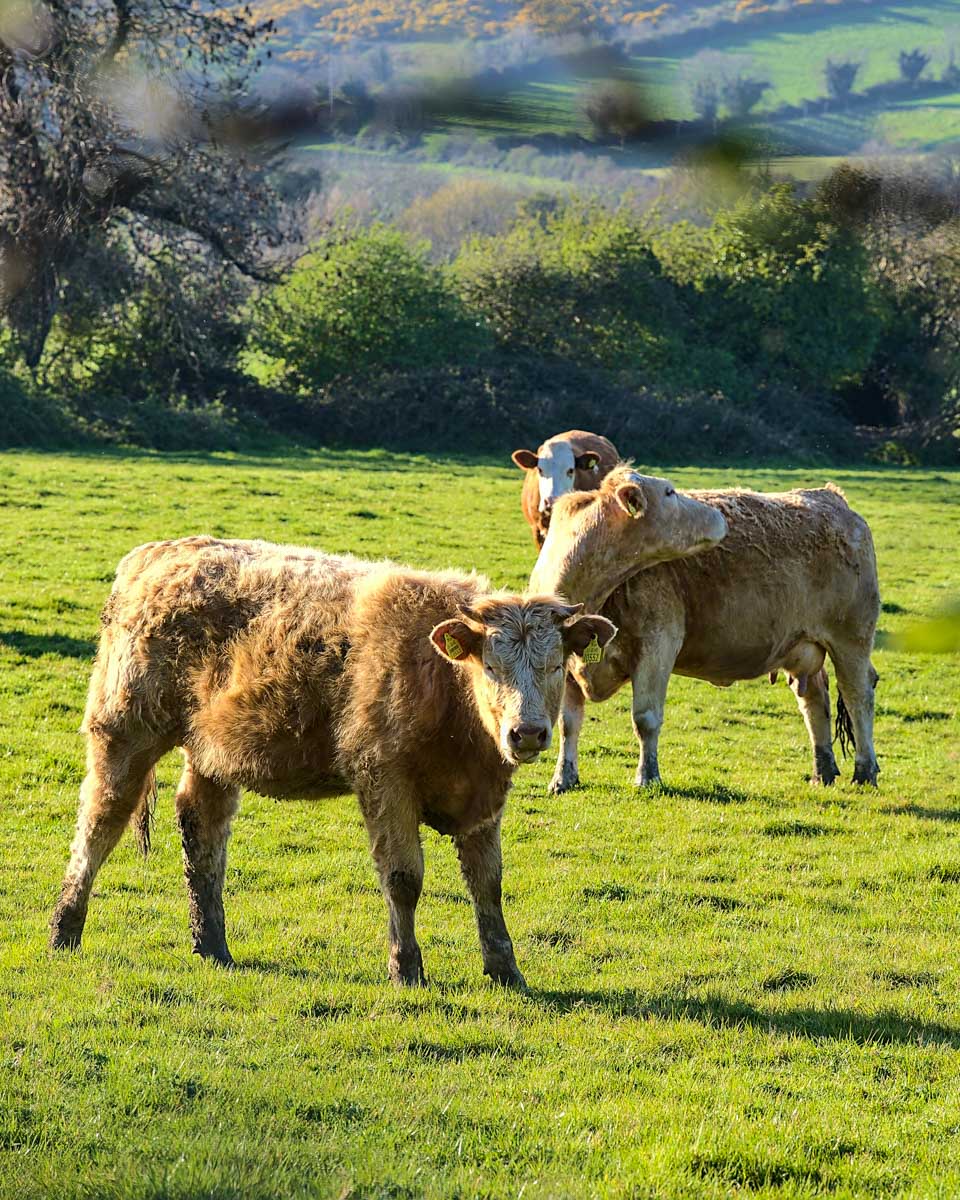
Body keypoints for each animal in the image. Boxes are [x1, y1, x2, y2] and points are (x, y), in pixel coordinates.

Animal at [49, 536, 618, 988]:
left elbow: (488, 885)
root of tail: (157, 554)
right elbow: (403, 878)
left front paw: (505, 969)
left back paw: (212, 944)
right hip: (124, 732)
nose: (528, 732)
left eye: (556, 664)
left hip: (211, 752)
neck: (443, 687)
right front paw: (406, 967)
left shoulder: (483, 798)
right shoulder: (383, 780)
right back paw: (64, 928)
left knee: (201, 830)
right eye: (492, 666)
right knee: (99, 824)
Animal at [530, 467, 881, 792]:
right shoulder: (567, 662)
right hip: (804, 647)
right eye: (670, 492)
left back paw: (865, 770)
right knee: (814, 699)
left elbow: (645, 718)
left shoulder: (657, 647)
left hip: (851, 640)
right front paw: (563, 778)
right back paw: (823, 771)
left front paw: (648, 776)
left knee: (857, 695)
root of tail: (831, 497)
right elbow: (568, 723)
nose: (719, 517)